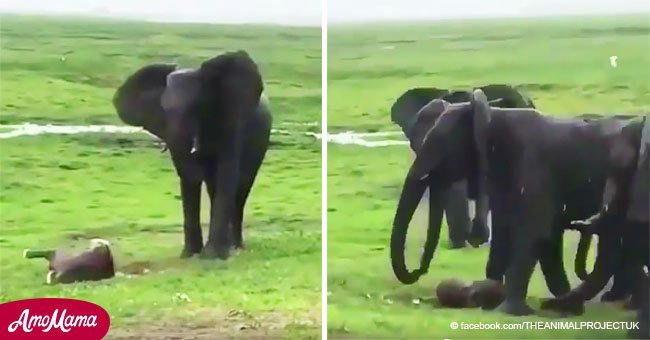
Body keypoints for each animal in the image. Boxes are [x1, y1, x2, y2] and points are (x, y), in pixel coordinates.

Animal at [112, 49, 270, 258]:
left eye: (196, 106)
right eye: (163, 109)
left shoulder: (232, 121)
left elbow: (226, 174)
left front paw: (212, 257)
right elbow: (189, 178)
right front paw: (189, 255)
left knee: (241, 190)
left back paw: (236, 247)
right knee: (213, 188)